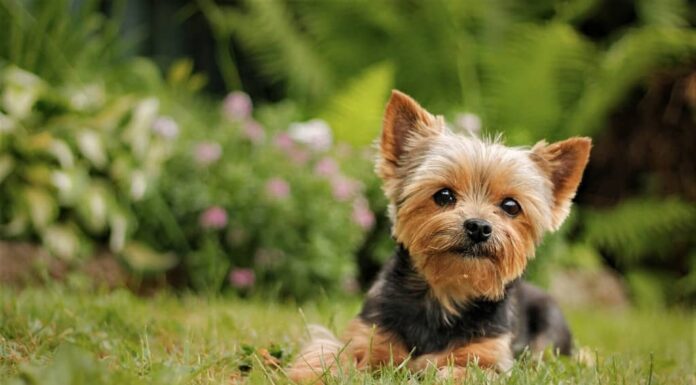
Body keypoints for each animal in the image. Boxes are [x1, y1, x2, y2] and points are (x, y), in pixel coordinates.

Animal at [286, 90, 588, 380]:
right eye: (444, 195)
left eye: (511, 206)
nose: (478, 227)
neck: (446, 292)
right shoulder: (368, 334)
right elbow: (331, 352)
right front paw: (313, 373)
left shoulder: (492, 356)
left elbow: (466, 370)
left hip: (549, 325)